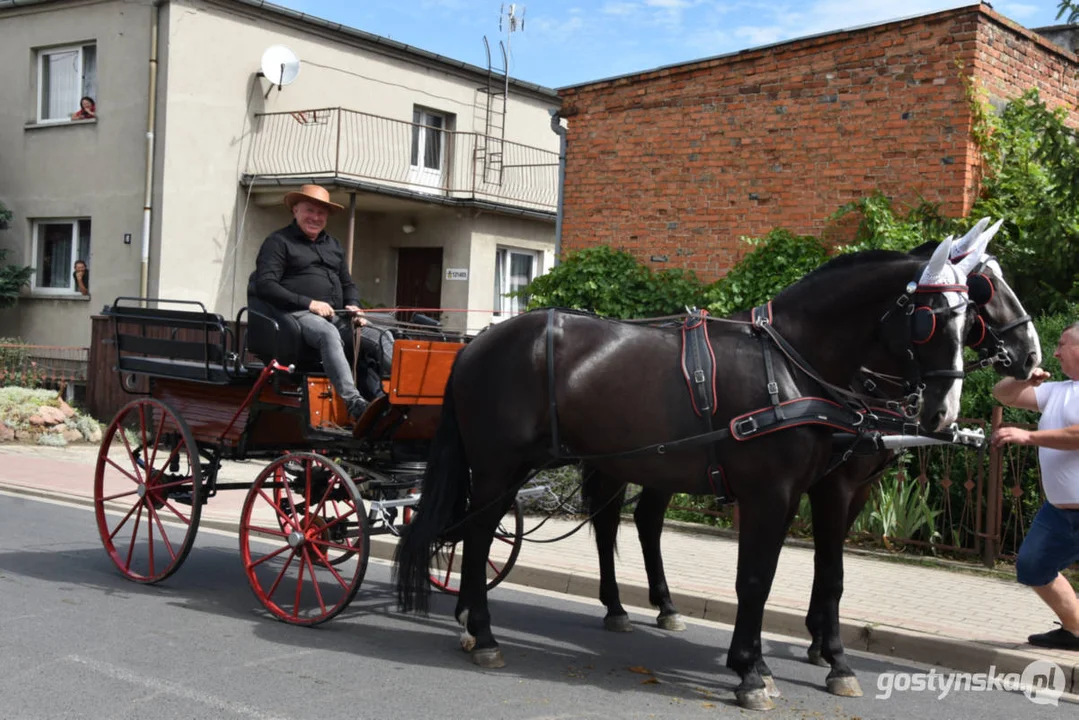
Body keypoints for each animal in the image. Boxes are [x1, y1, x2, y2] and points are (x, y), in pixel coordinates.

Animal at [399, 240, 979, 708]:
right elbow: (755, 580)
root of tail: (477, 342)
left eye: (967, 317)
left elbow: (806, 575)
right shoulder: (772, 493)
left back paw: (476, 621)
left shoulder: (803, 493)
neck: (790, 367)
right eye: (932, 319)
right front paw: (752, 671)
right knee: (479, 535)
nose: (943, 414)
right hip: (499, 465)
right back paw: (484, 635)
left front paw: (793, 661)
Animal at [582, 218, 1044, 699]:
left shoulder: (849, 488)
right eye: (985, 288)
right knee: (610, 522)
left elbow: (819, 568)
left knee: (646, 519)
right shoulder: (829, 487)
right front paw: (829, 656)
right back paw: (616, 606)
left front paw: (814, 645)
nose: (1032, 354)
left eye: (971, 306)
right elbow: (826, 572)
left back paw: (665, 605)